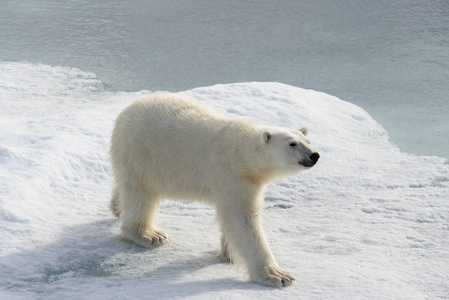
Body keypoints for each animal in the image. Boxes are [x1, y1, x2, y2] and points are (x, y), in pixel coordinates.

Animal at [108, 94, 318, 288]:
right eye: (292, 143)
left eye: (308, 141)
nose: (314, 155)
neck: (242, 153)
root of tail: (129, 108)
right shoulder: (232, 173)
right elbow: (242, 218)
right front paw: (277, 275)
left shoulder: (249, 180)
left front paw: (229, 254)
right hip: (140, 152)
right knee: (140, 194)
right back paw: (149, 235)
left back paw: (117, 207)